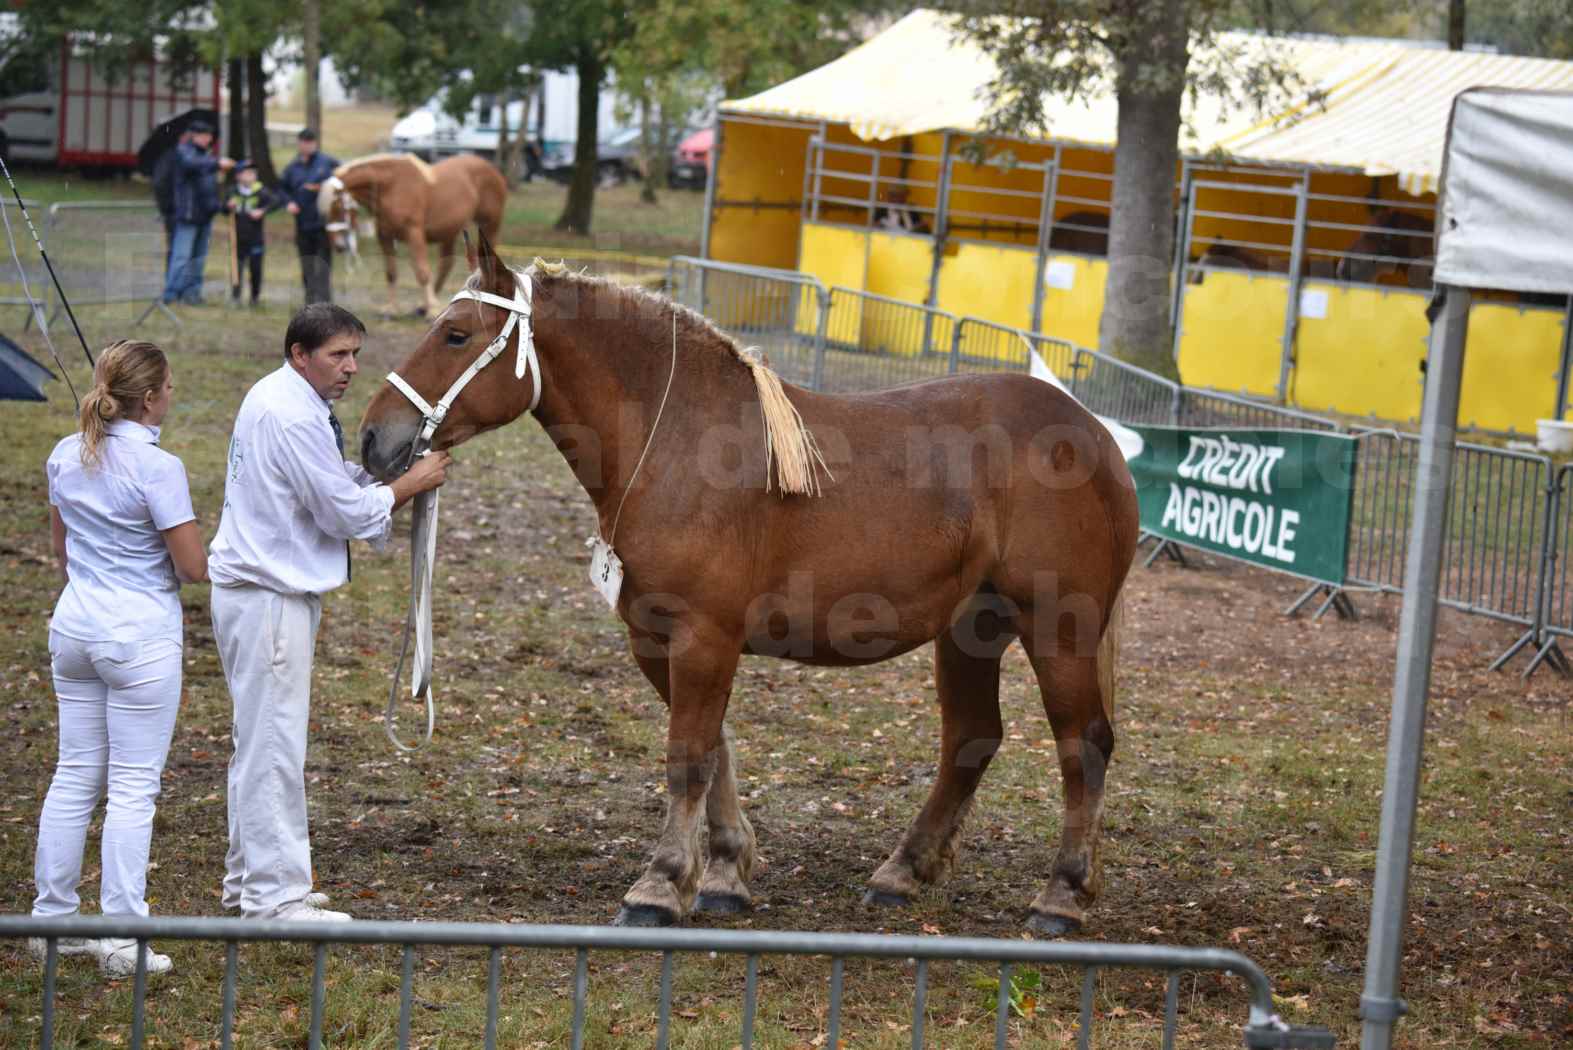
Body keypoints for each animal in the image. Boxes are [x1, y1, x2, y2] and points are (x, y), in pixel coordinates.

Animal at [320, 151, 509, 315]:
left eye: (338, 207)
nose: (339, 246)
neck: (391, 186)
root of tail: (493, 169)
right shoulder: (385, 236)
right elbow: (391, 272)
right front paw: (392, 309)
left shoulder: (414, 234)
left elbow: (422, 272)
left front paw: (431, 310)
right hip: (450, 231)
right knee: (446, 264)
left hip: (489, 226)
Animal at [361, 231, 1138, 936]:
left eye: (456, 334)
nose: (373, 437)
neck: (676, 440)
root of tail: (1093, 436)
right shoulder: (659, 639)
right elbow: (714, 750)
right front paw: (725, 875)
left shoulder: (704, 637)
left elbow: (687, 760)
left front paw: (659, 886)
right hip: (972, 631)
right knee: (971, 742)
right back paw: (903, 872)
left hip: (1057, 629)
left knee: (1083, 745)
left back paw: (1061, 895)